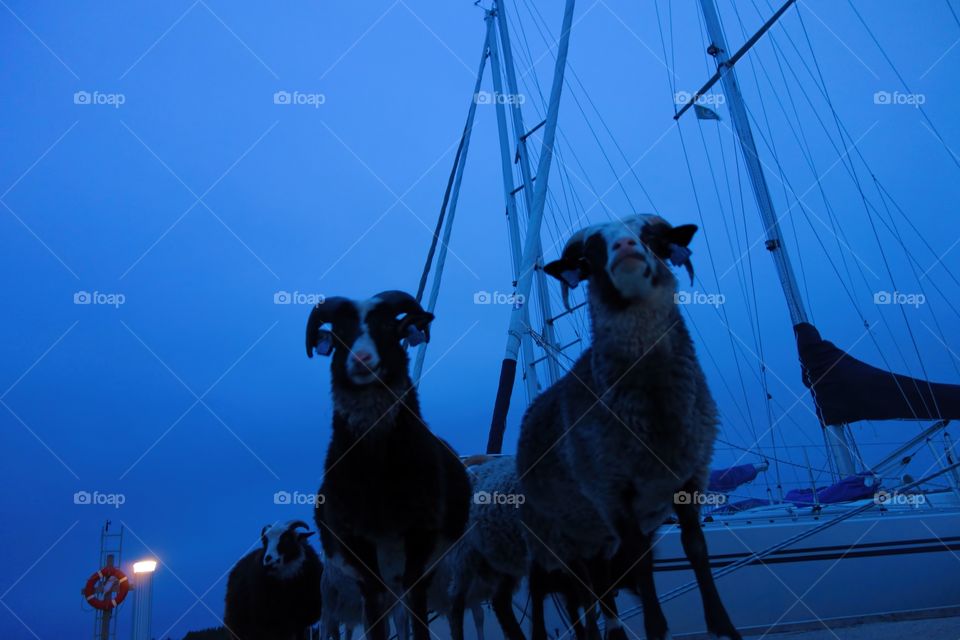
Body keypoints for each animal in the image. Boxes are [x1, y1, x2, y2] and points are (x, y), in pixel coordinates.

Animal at [308, 290, 472, 640]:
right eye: (339, 332)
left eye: (387, 327)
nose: (361, 360)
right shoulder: (357, 547)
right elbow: (374, 615)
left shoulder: (421, 536)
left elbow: (419, 609)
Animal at [520, 216, 740, 640]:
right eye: (590, 253)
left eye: (651, 236)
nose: (626, 247)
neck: (656, 415)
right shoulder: (612, 492)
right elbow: (640, 561)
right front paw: (656, 629)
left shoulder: (689, 479)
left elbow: (696, 548)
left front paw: (723, 627)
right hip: (550, 534)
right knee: (544, 587)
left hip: (592, 535)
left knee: (594, 584)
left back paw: (605, 631)